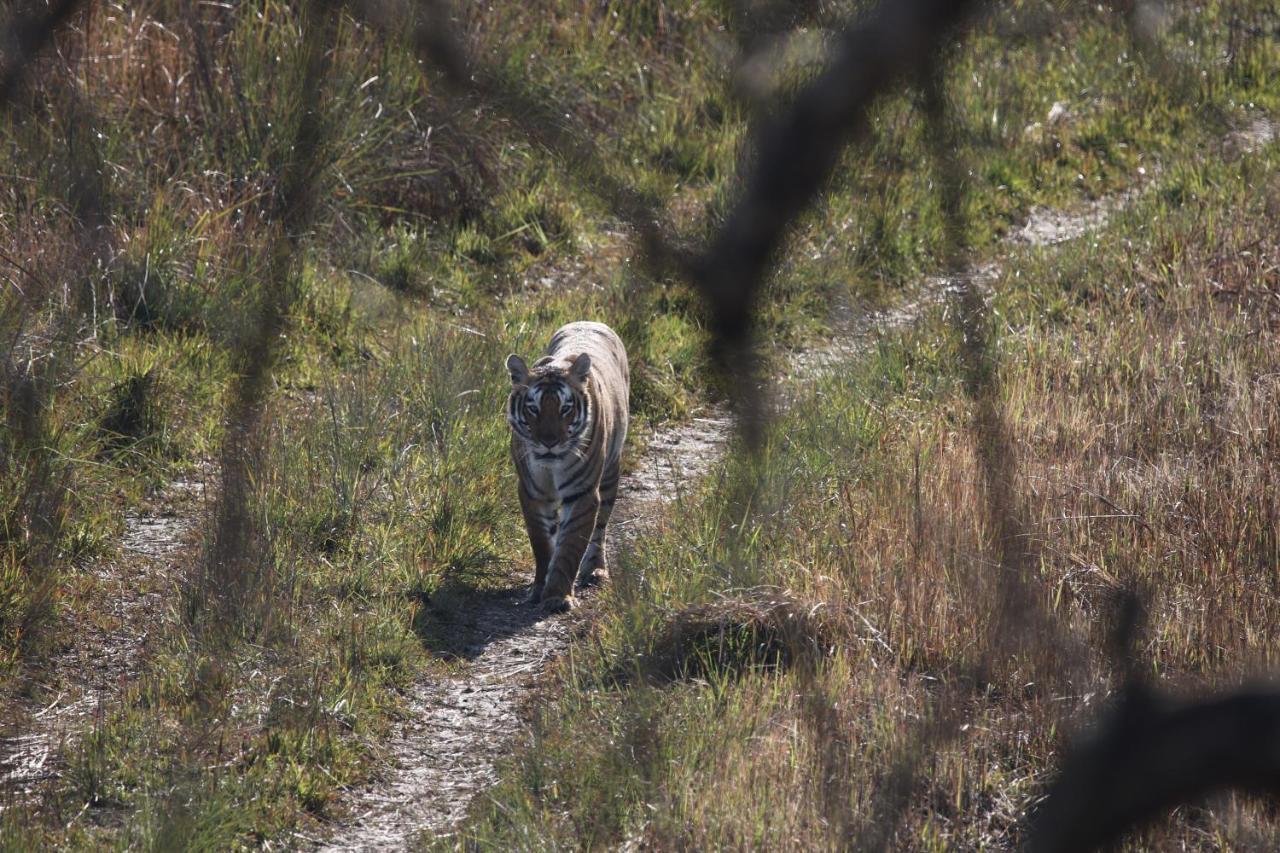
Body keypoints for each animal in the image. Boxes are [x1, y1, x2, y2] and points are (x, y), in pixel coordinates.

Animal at [506, 320, 632, 612]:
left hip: (610, 474)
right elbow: (543, 545)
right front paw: (539, 588)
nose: (549, 442)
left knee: (600, 529)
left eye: (565, 409)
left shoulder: (582, 493)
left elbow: (571, 546)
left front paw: (557, 596)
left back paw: (596, 570)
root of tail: (589, 320)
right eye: (533, 409)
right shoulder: (533, 493)